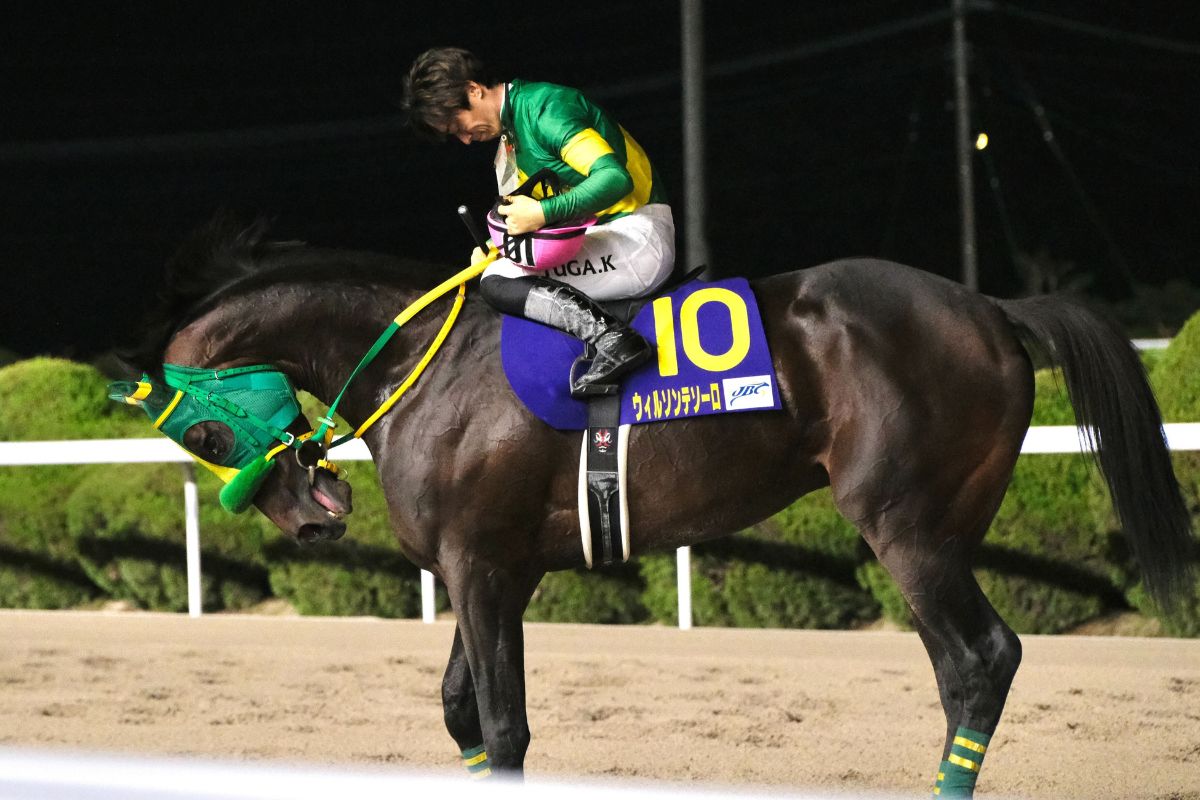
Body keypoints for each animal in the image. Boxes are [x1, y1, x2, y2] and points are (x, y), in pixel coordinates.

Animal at [119, 218, 1193, 797]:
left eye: (203, 435)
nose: (313, 518)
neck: (425, 361)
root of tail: (993, 309)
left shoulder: (483, 568)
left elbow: (502, 726)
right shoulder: (487, 567)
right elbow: (464, 713)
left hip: (906, 526)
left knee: (980, 660)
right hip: (945, 528)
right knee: (966, 668)